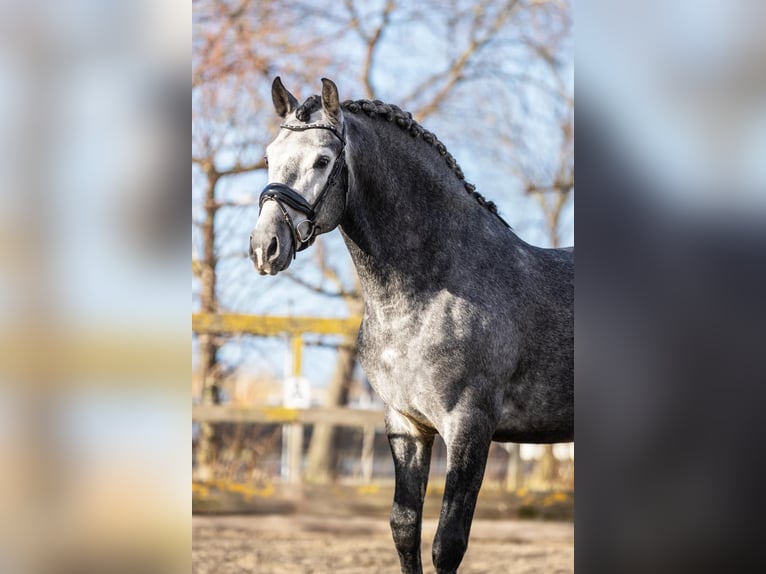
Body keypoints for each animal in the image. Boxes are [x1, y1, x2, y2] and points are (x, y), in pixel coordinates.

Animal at [252, 77, 576, 574]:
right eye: (270, 156)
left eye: (322, 160)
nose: (265, 246)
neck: (430, 290)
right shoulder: (406, 424)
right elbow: (404, 528)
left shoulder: (469, 427)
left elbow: (448, 543)